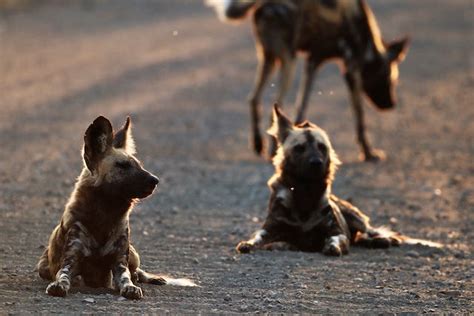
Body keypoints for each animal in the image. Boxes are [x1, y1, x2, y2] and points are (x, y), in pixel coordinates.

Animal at [36, 116, 196, 298]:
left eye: (139, 165)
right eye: (122, 165)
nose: (155, 180)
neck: (105, 215)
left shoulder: (120, 263)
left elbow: (126, 278)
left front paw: (131, 288)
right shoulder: (70, 260)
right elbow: (63, 275)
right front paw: (60, 285)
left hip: (133, 255)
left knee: (137, 271)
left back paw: (152, 278)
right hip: (42, 267)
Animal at [209, 0, 410, 160]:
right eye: (391, 79)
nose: (391, 104)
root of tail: (265, 5)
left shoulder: (313, 62)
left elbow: (301, 106)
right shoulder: (351, 70)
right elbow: (360, 117)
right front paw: (368, 153)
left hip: (269, 59)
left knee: (253, 98)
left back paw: (259, 145)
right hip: (288, 61)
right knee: (274, 104)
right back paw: (273, 151)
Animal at [237, 105, 440, 256]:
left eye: (322, 147)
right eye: (300, 148)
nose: (316, 163)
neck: (305, 193)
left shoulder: (337, 231)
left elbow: (336, 239)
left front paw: (331, 247)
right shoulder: (270, 229)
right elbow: (257, 238)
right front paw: (248, 244)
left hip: (356, 218)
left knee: (369, 232)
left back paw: (383, 240)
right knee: (359, 238)